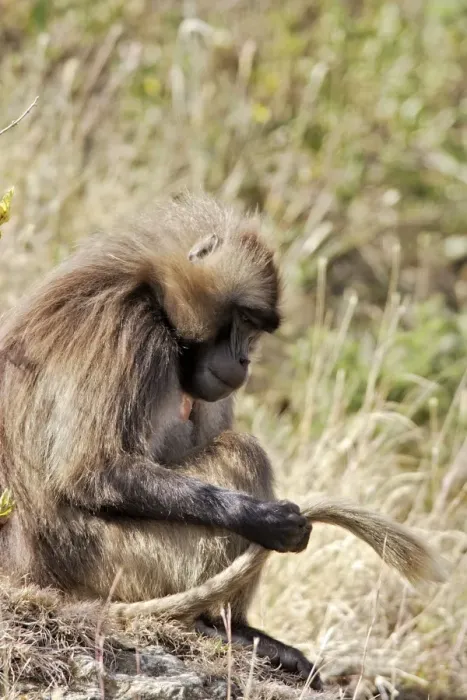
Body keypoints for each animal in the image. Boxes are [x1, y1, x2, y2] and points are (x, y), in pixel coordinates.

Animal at [0, 194, 445, 691]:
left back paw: (247, 634)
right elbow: (89, 470)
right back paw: (214, 624)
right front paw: (266, 521)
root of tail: (24, 568)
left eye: (257, 328)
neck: (156, 297)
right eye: (245, 320)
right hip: (114, 562)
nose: (245, 359)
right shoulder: (129, 333)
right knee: (242, 453)